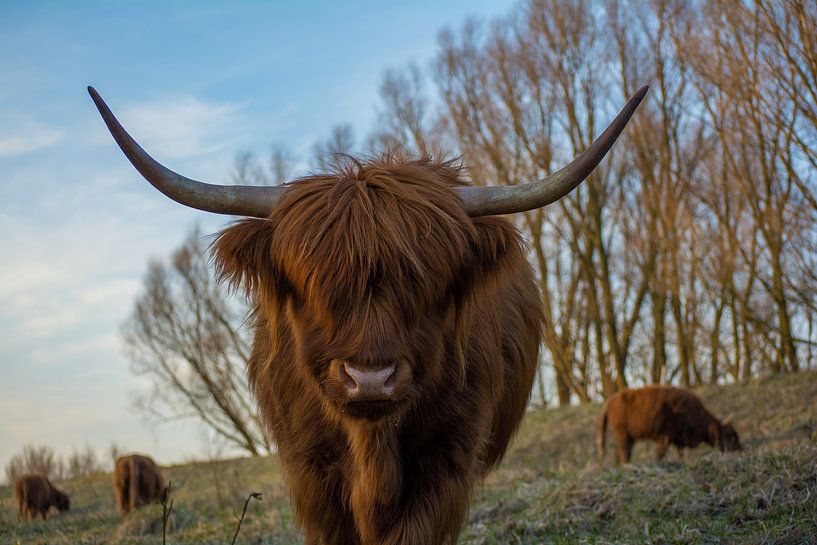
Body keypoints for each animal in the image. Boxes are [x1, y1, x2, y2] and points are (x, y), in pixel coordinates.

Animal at [596, 382, 744, 464]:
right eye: (729, 436)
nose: (740, 449)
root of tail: (611, 400)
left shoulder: (679, 440)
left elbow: (680, 453)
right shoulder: (664, 438)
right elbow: (660, 454)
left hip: (628, 437)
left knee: (620, 452)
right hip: (623, 435)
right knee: (623, 453)